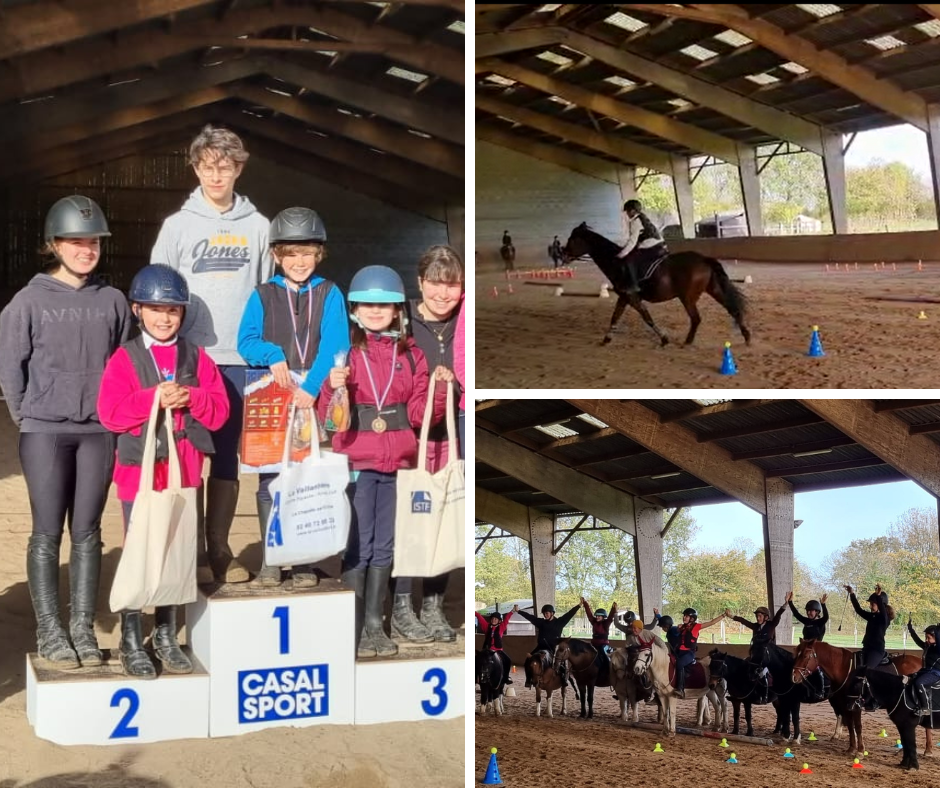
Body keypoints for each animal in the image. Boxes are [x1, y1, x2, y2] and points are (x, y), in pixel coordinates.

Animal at [560, 220, 752, 346]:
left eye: (573, 239)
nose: (563, 255)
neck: (616, 263)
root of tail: (704, 259)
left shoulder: (632, 297)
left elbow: (647, 318)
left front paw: (664, 339)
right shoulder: (624, 297)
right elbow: (615, 316)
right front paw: (607, 338)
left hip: (687, 297)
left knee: (696, 318)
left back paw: (688, 342)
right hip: (713, 289)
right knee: (733, 310)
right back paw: (746, 336)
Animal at [788, 636, 920, 756]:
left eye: (805, 656)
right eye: (796, 655)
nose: (794, 676)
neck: (846, 670)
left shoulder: (856, 705)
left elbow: (858, 726)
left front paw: (860, 750)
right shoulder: (845, 705)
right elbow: (851, 726)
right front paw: (851, 748)